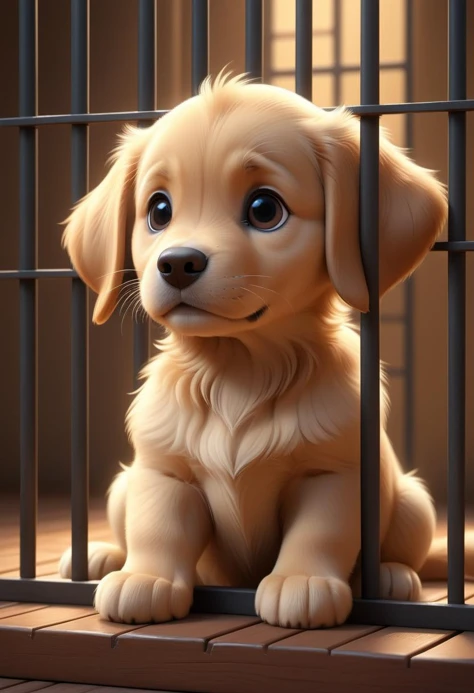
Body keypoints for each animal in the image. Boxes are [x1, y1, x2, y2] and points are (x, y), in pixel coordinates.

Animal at [59, 71, 452, 628]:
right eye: (159, 210)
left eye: (265, 209)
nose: (177, 263)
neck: (238, 370)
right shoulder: (163, 470)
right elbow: (158, 526)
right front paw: (145, 579)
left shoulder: (334, 475)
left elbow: (321, 532)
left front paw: (302, 582)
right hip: (121, 487)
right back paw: (101, 555)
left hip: (414, 503)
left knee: (405, 550)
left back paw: (393, 578)